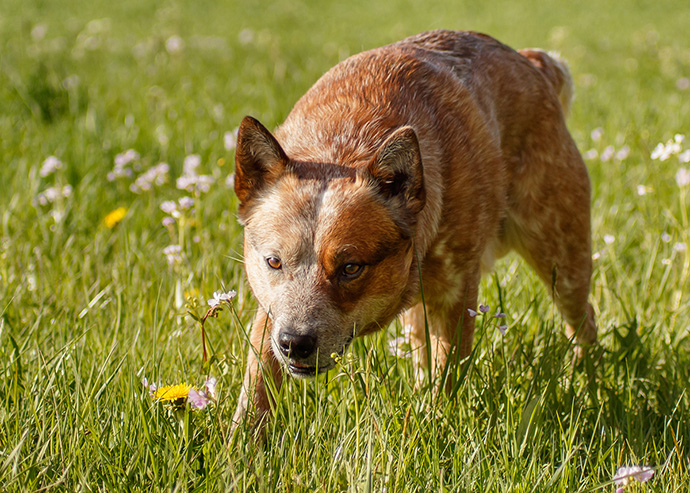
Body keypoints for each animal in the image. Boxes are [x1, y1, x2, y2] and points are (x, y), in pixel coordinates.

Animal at [230, 29, 592, 426]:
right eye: (274, 262)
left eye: (351, 268)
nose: (295, 342)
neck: (343, 145)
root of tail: (533, 62)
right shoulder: (271, 310)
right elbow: (257, 384)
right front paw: (244, 440)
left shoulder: (456, 294)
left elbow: (447, 373)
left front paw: (438, 425)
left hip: (560, 253)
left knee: (583, 318)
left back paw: (586, 380)